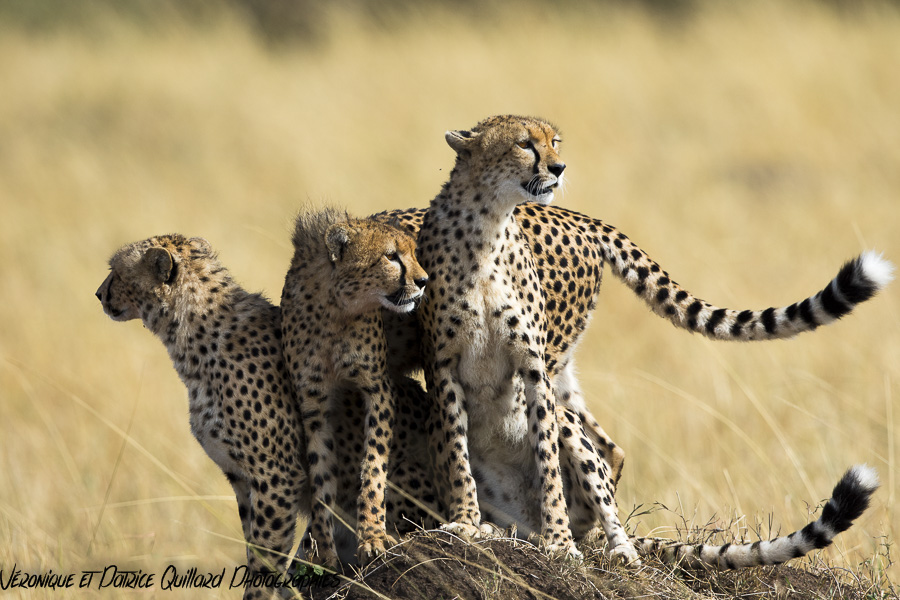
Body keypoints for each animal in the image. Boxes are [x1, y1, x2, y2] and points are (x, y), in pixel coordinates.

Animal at [95, 234, 306, 600]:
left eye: (116, 272)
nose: (98, 293)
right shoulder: (242, 477)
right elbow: (257, 546)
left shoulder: (277, 475)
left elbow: (265, 557)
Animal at [282, 209, 432, 568]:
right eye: (391, 256)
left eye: (414, 252)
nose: (424, 281)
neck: (335, 309)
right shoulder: (314, 406)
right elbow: (321, 480)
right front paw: (325, 552)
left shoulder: (378, 389)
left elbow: (374, 467)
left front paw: (373, 537)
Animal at [376, 115, 888, 564]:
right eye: (524, 144)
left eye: (554, 142)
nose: (559, 168)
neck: (484, 231)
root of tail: (580, 218)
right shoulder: (442, 365)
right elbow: (451, 451)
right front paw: (464, 522)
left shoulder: (525, 366)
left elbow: (541, 459)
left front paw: (557, 543)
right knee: (604, 449)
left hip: (554, 372)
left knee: (592, 456)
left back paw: (604, 544)